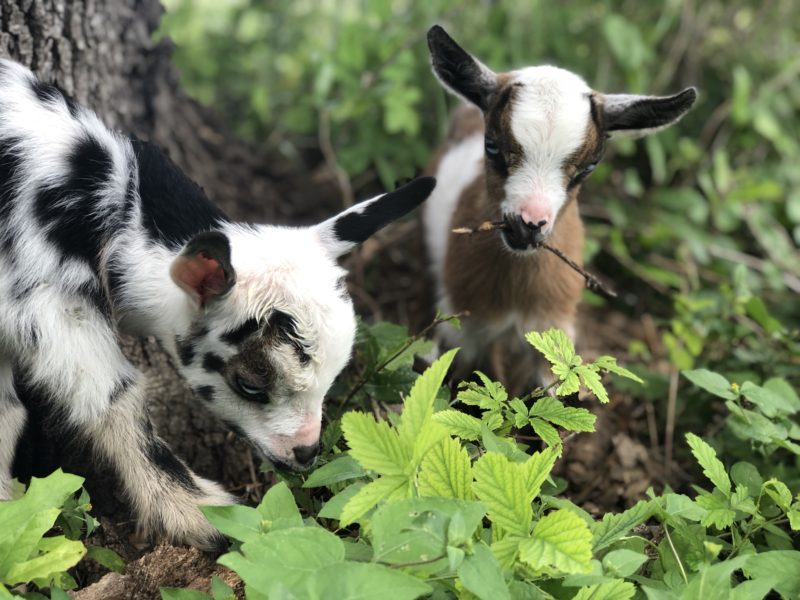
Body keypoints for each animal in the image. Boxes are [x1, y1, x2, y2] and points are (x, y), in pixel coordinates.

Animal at [0, 58, 435, 549]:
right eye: (249, 385)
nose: (305, 452)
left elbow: (6, 414)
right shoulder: (52, 300)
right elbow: (113, 395)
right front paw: (201, 514)